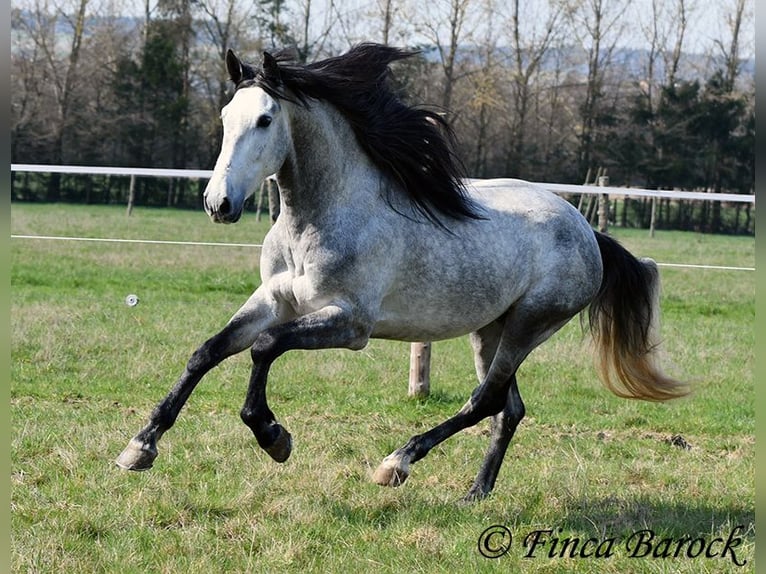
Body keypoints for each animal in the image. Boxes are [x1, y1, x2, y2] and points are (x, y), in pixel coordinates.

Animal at [116, 43, 688, 501]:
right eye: (224, 116)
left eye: (265, 120)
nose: (219, 204)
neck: (320, 219)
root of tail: (587, 230)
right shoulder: (274, 300)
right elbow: (207, 352)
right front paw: (140, 447)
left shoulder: (351, 324)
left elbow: (265, 348)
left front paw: (274, 437)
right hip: (491, 327)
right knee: (509, 408)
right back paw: (475, 493)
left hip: (531, 324)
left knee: (486, 400)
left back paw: (396, 464)